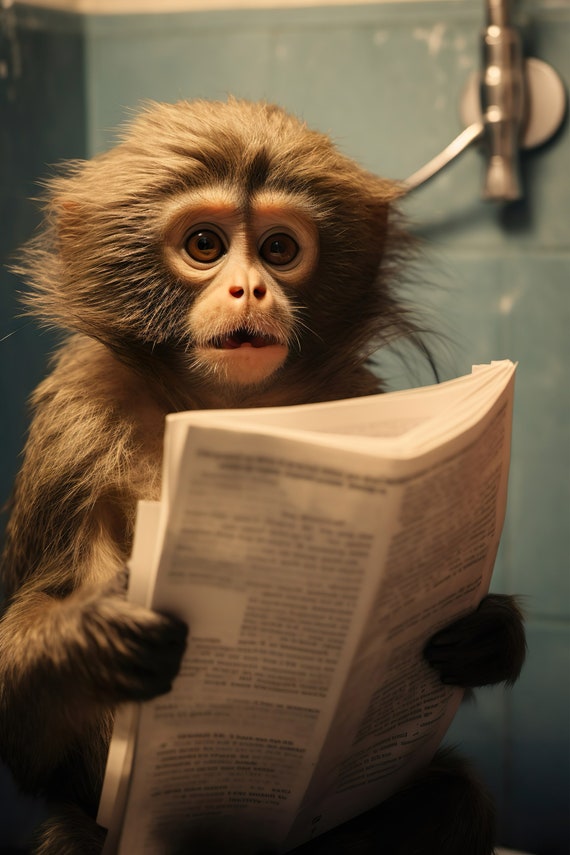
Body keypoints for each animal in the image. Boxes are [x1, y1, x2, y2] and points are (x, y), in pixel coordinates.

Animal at [0, 98, 525, 855]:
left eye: (280, 250)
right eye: (205, 245)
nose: (249, 288)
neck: (223, 409)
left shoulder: (356, 396)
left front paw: (490, 632)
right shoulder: (74, 428)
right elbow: (29, 740)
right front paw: (94, 636)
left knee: (452, 797)